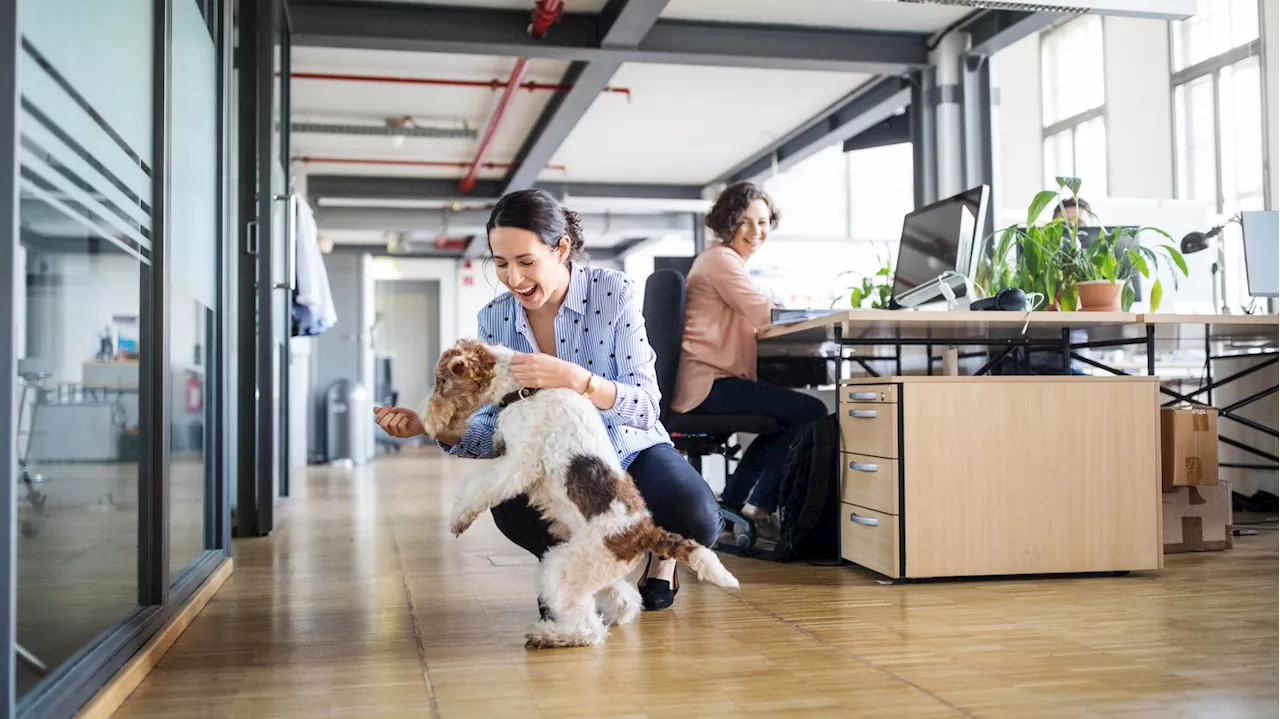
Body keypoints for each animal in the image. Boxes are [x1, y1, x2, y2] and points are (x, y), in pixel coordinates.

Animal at [424, 337, 737, 647]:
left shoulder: (520, 463)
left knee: (588, 629)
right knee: (622, 600)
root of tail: (644, 533)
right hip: (588, 566)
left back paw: (547, 634)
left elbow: (479, 486)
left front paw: (458, 520)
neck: (525, 389)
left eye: (443, 380)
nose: (428, 421)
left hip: (564, 568)